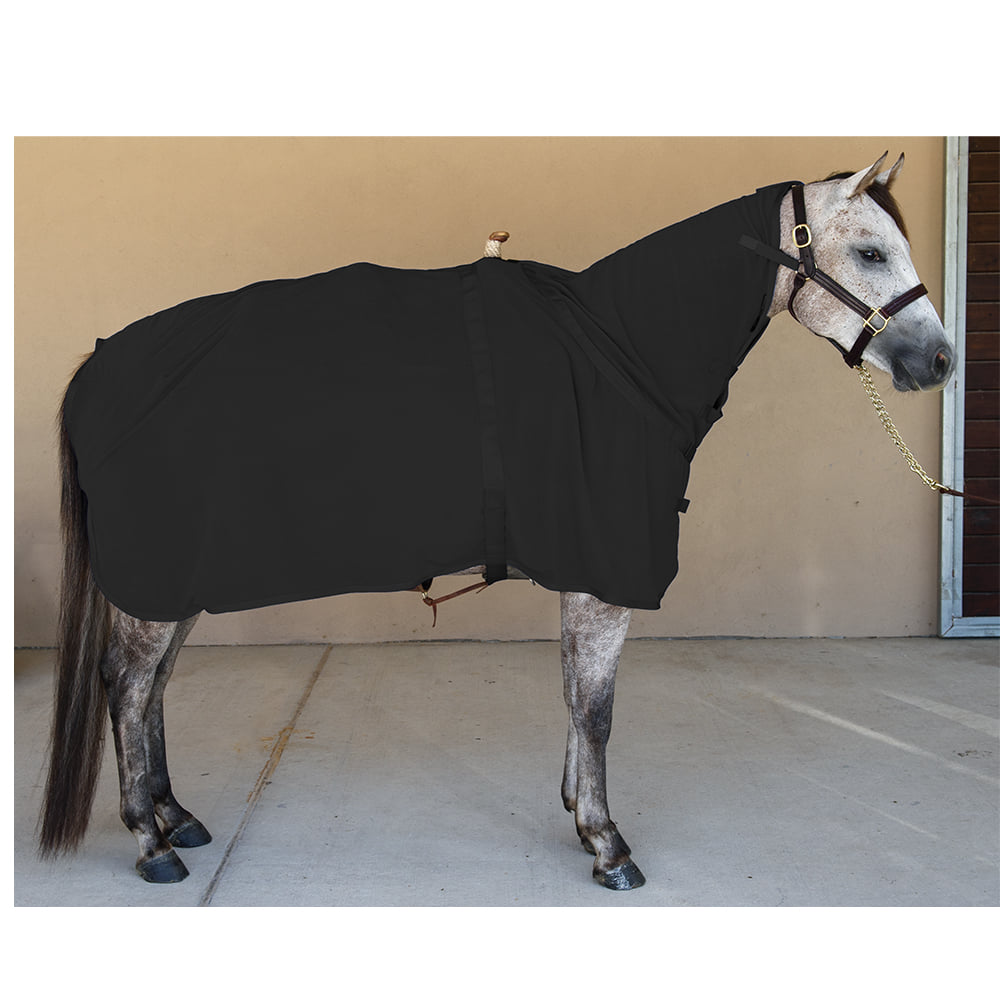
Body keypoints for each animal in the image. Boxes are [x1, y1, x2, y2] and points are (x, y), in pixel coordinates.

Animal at [38, 153, 955, 891]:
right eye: (870, 251)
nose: (941, 360)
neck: (619, 352)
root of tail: (100, 363)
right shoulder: (605, 575)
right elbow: (597, 709)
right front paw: (607, 843)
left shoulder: (584, 571)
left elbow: (574, 697)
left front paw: (577, 813)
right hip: (158, 581)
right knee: (127, 686)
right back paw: (150, 841)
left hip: (178, 581)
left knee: (152, 688)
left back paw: (174, 814)